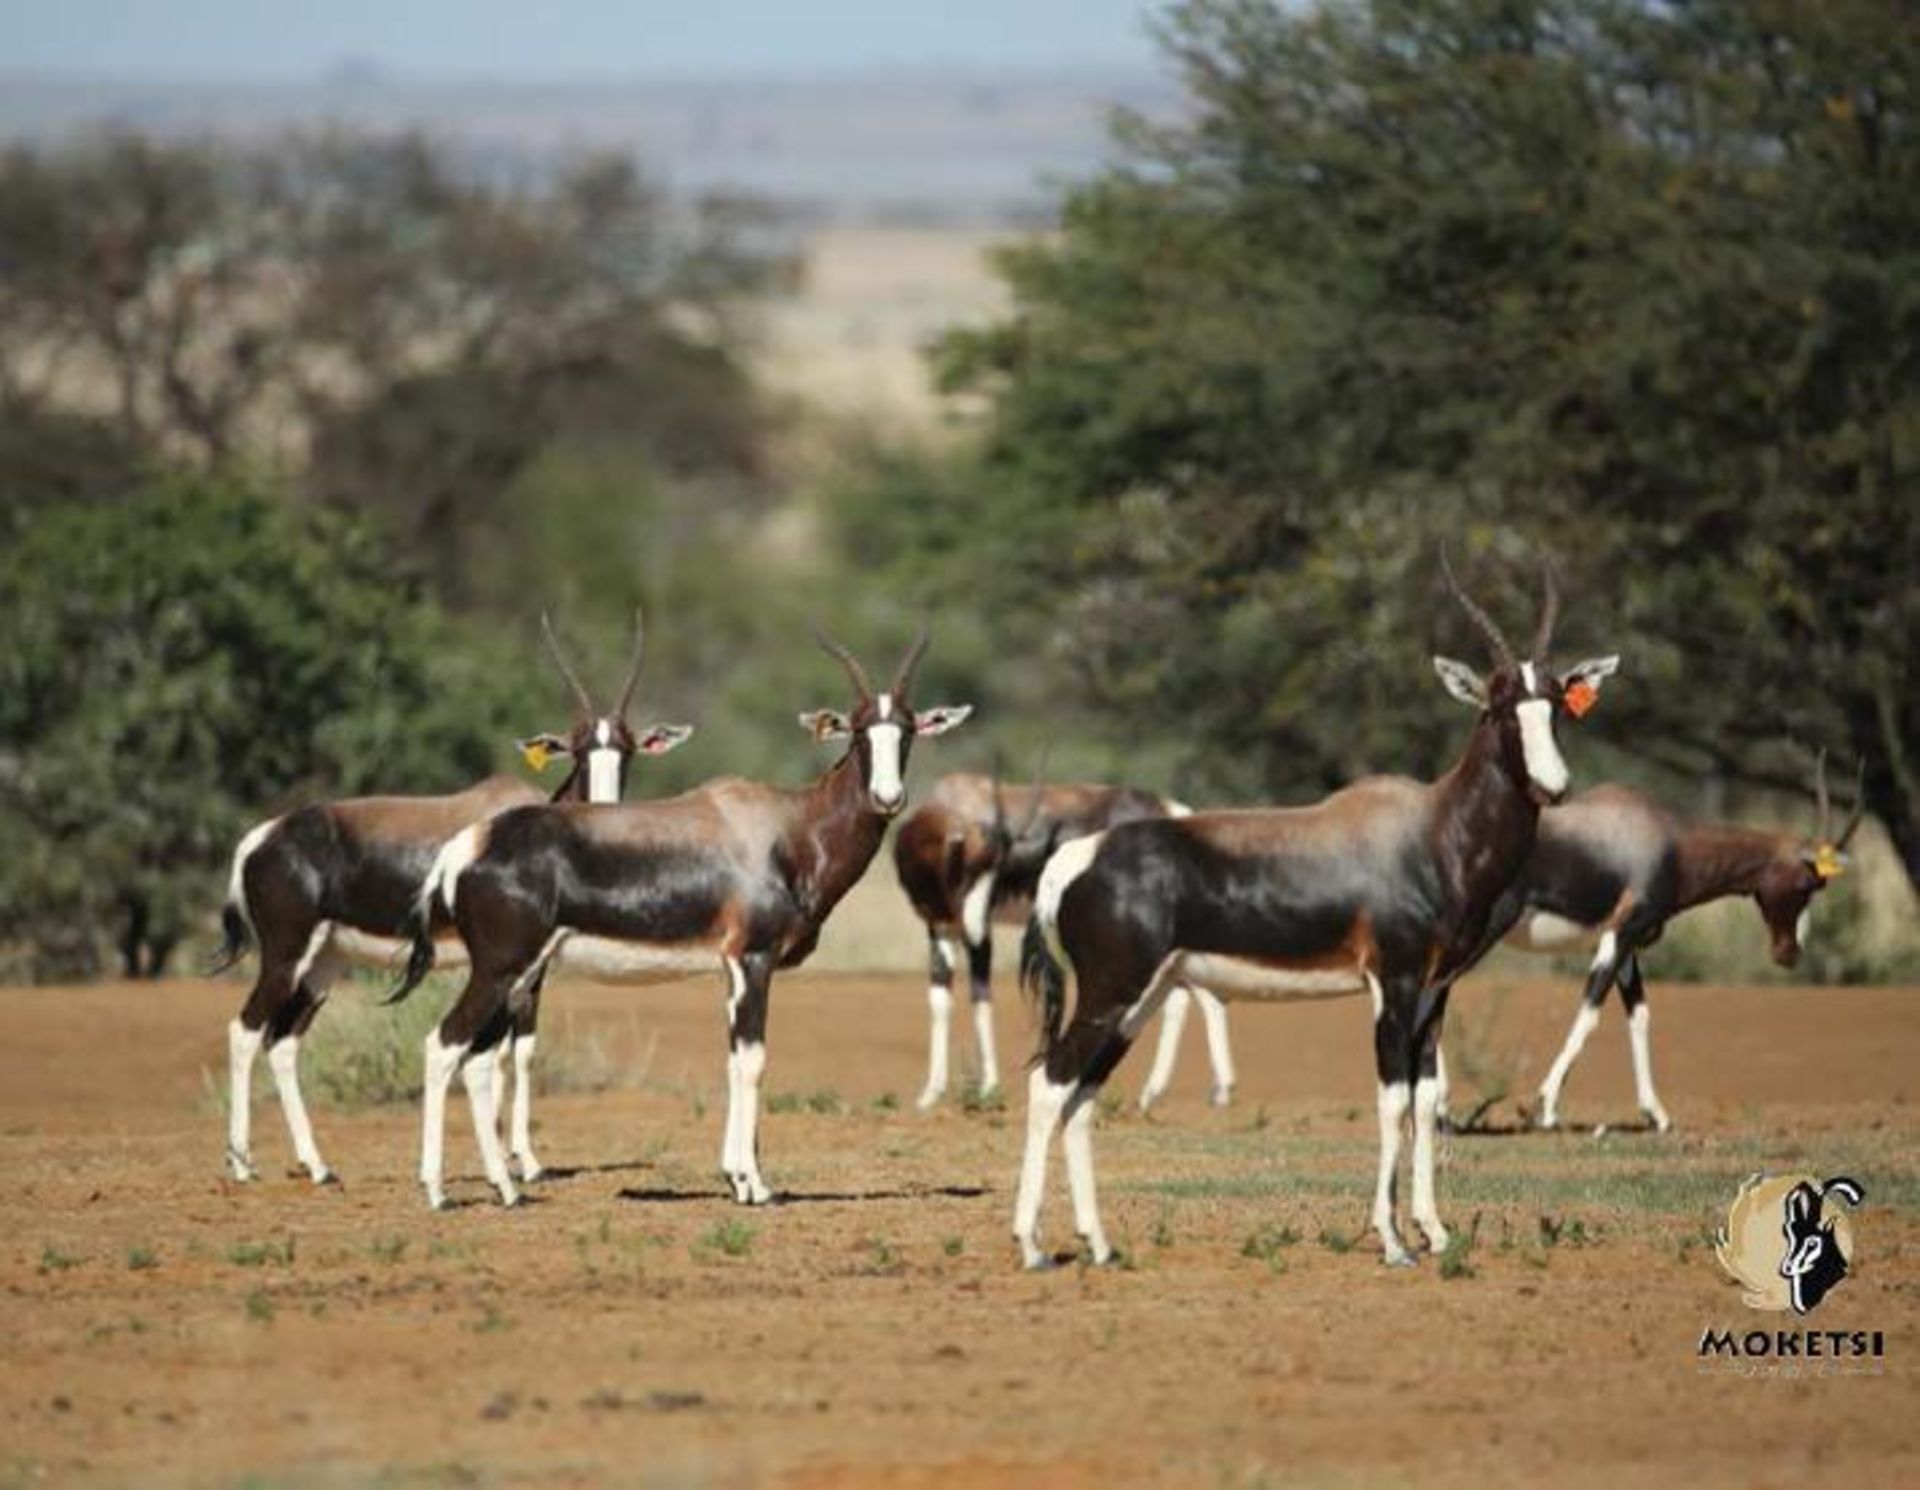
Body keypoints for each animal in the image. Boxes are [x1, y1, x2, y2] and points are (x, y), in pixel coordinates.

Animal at [212, 614, 691, 1190]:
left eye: (626, 749)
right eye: (576, 749)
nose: (603, 813)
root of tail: (260, 838)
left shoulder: (528, 970)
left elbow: (518, 1050)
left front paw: (516, 1160)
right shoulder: (510, 968)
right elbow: (501, 1052)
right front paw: (514, 1163)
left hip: (324, 961)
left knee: (283, 1041)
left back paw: (319, 1166)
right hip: (284, 956)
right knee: (245, 1031)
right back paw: (243, 1165)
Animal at [385, 629, 975, 1213]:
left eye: (907, 729)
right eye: (858, 731)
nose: (887, 797)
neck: (786, 828)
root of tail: (467, 844)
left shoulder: (729, 968)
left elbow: (733, 1060)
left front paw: (737, 1179)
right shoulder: (752, 960)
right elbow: (753, 1060)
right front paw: (758, 1187)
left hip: (519, 976)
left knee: (480, 1059)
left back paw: (506, 1189)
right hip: (500, 971)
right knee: (444, 1045)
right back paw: (439, 1192)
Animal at [890, 768, 1236, 1105]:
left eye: (994, 870)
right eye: (967, 869)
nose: (972, 928)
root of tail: (1176, 812)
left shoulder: (981, 932)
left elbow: (981, 994)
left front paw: (988, 1089)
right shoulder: (940, 926)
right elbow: (940, 998)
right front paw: (930, 1094)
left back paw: (1191, 1090)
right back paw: (1179, 1091)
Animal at [1021, 560, 1620, 1267]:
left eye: (1555, 702)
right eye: (1499, 704)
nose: (1555, 787)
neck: (1432, 828)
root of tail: (1074, 857)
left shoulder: (1434, 993)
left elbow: (1426, 1097)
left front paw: (1435, 1232)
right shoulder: (1393, 984)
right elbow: (1392, 1101)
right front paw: (1393, 1242)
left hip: (1140, 1001)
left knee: (1082, 1097)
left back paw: (1099, 1245)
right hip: (1111, 994)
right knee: (1050, 1084)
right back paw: (1031, 1247)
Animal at [1489, 756, 1866, 1129]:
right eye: (1808, 884)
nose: (1789, 953)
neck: (1666, 839)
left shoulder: (1627, 947)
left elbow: (1639, 1016)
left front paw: (1655, 1114)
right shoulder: (1620, 935)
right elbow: (1589, 1013)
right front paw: (1544, 1109)